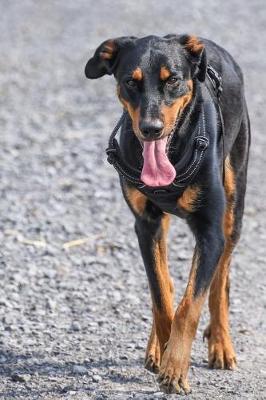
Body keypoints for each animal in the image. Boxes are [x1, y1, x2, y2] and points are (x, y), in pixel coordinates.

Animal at [84, 33, 249, 394]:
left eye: (172, 79)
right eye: (130, 82)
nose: (151, 129)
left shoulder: (211, 230)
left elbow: (191, 305)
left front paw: (175, 370)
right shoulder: (146, 225)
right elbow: (161, 295)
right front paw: (164, 351)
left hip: (234, 207)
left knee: (220, 283)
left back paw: (221, 344)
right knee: (169, 283)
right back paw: (156, 348)